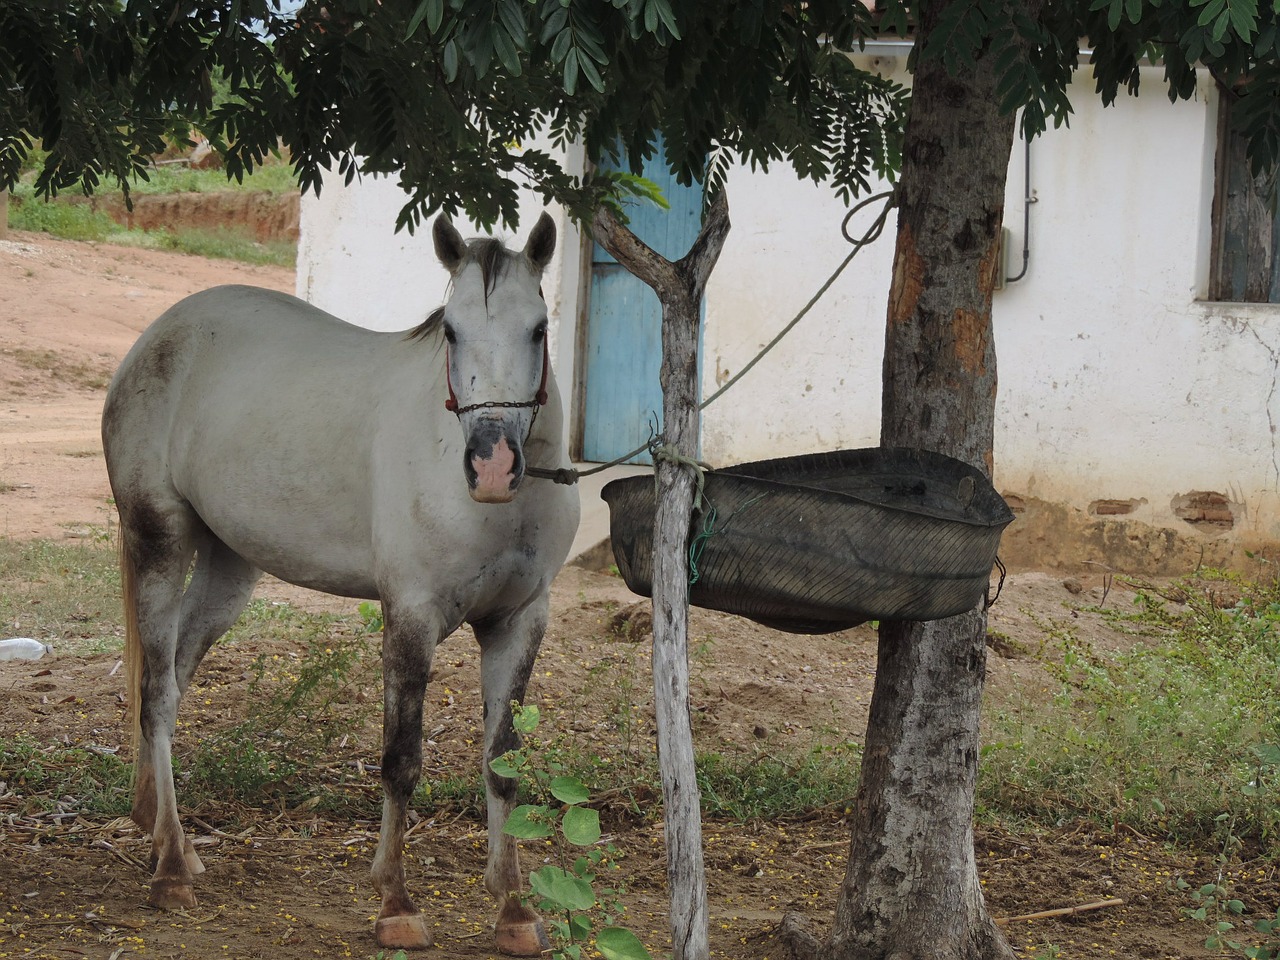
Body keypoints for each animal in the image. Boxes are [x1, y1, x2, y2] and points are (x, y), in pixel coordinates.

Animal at [101, 213, 581, 957]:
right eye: (451, 331)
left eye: (537, 329)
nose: (493, 465)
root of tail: (160, 334)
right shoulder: (411, 616)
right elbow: (401, 760)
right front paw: (395, 905)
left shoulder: (520, 621)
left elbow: (503, 764)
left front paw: (514, 911)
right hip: (158, 542)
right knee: (154, 694)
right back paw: (173, 870)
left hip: (228, 568)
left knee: (174, 685)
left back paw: (165, 840)